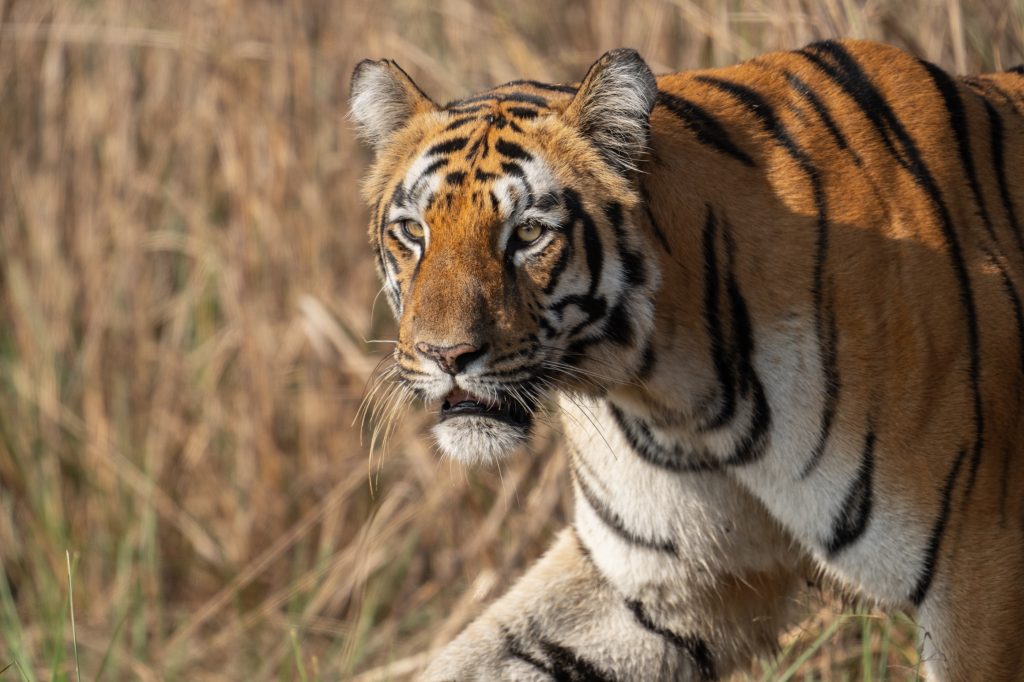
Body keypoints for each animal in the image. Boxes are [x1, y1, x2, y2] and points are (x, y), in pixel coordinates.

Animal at [348, 39, 1019, 675]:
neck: (675, 391)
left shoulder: (982, 577)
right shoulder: (658, 583)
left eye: (529, 233)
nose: (445, 355)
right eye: (412, 231)